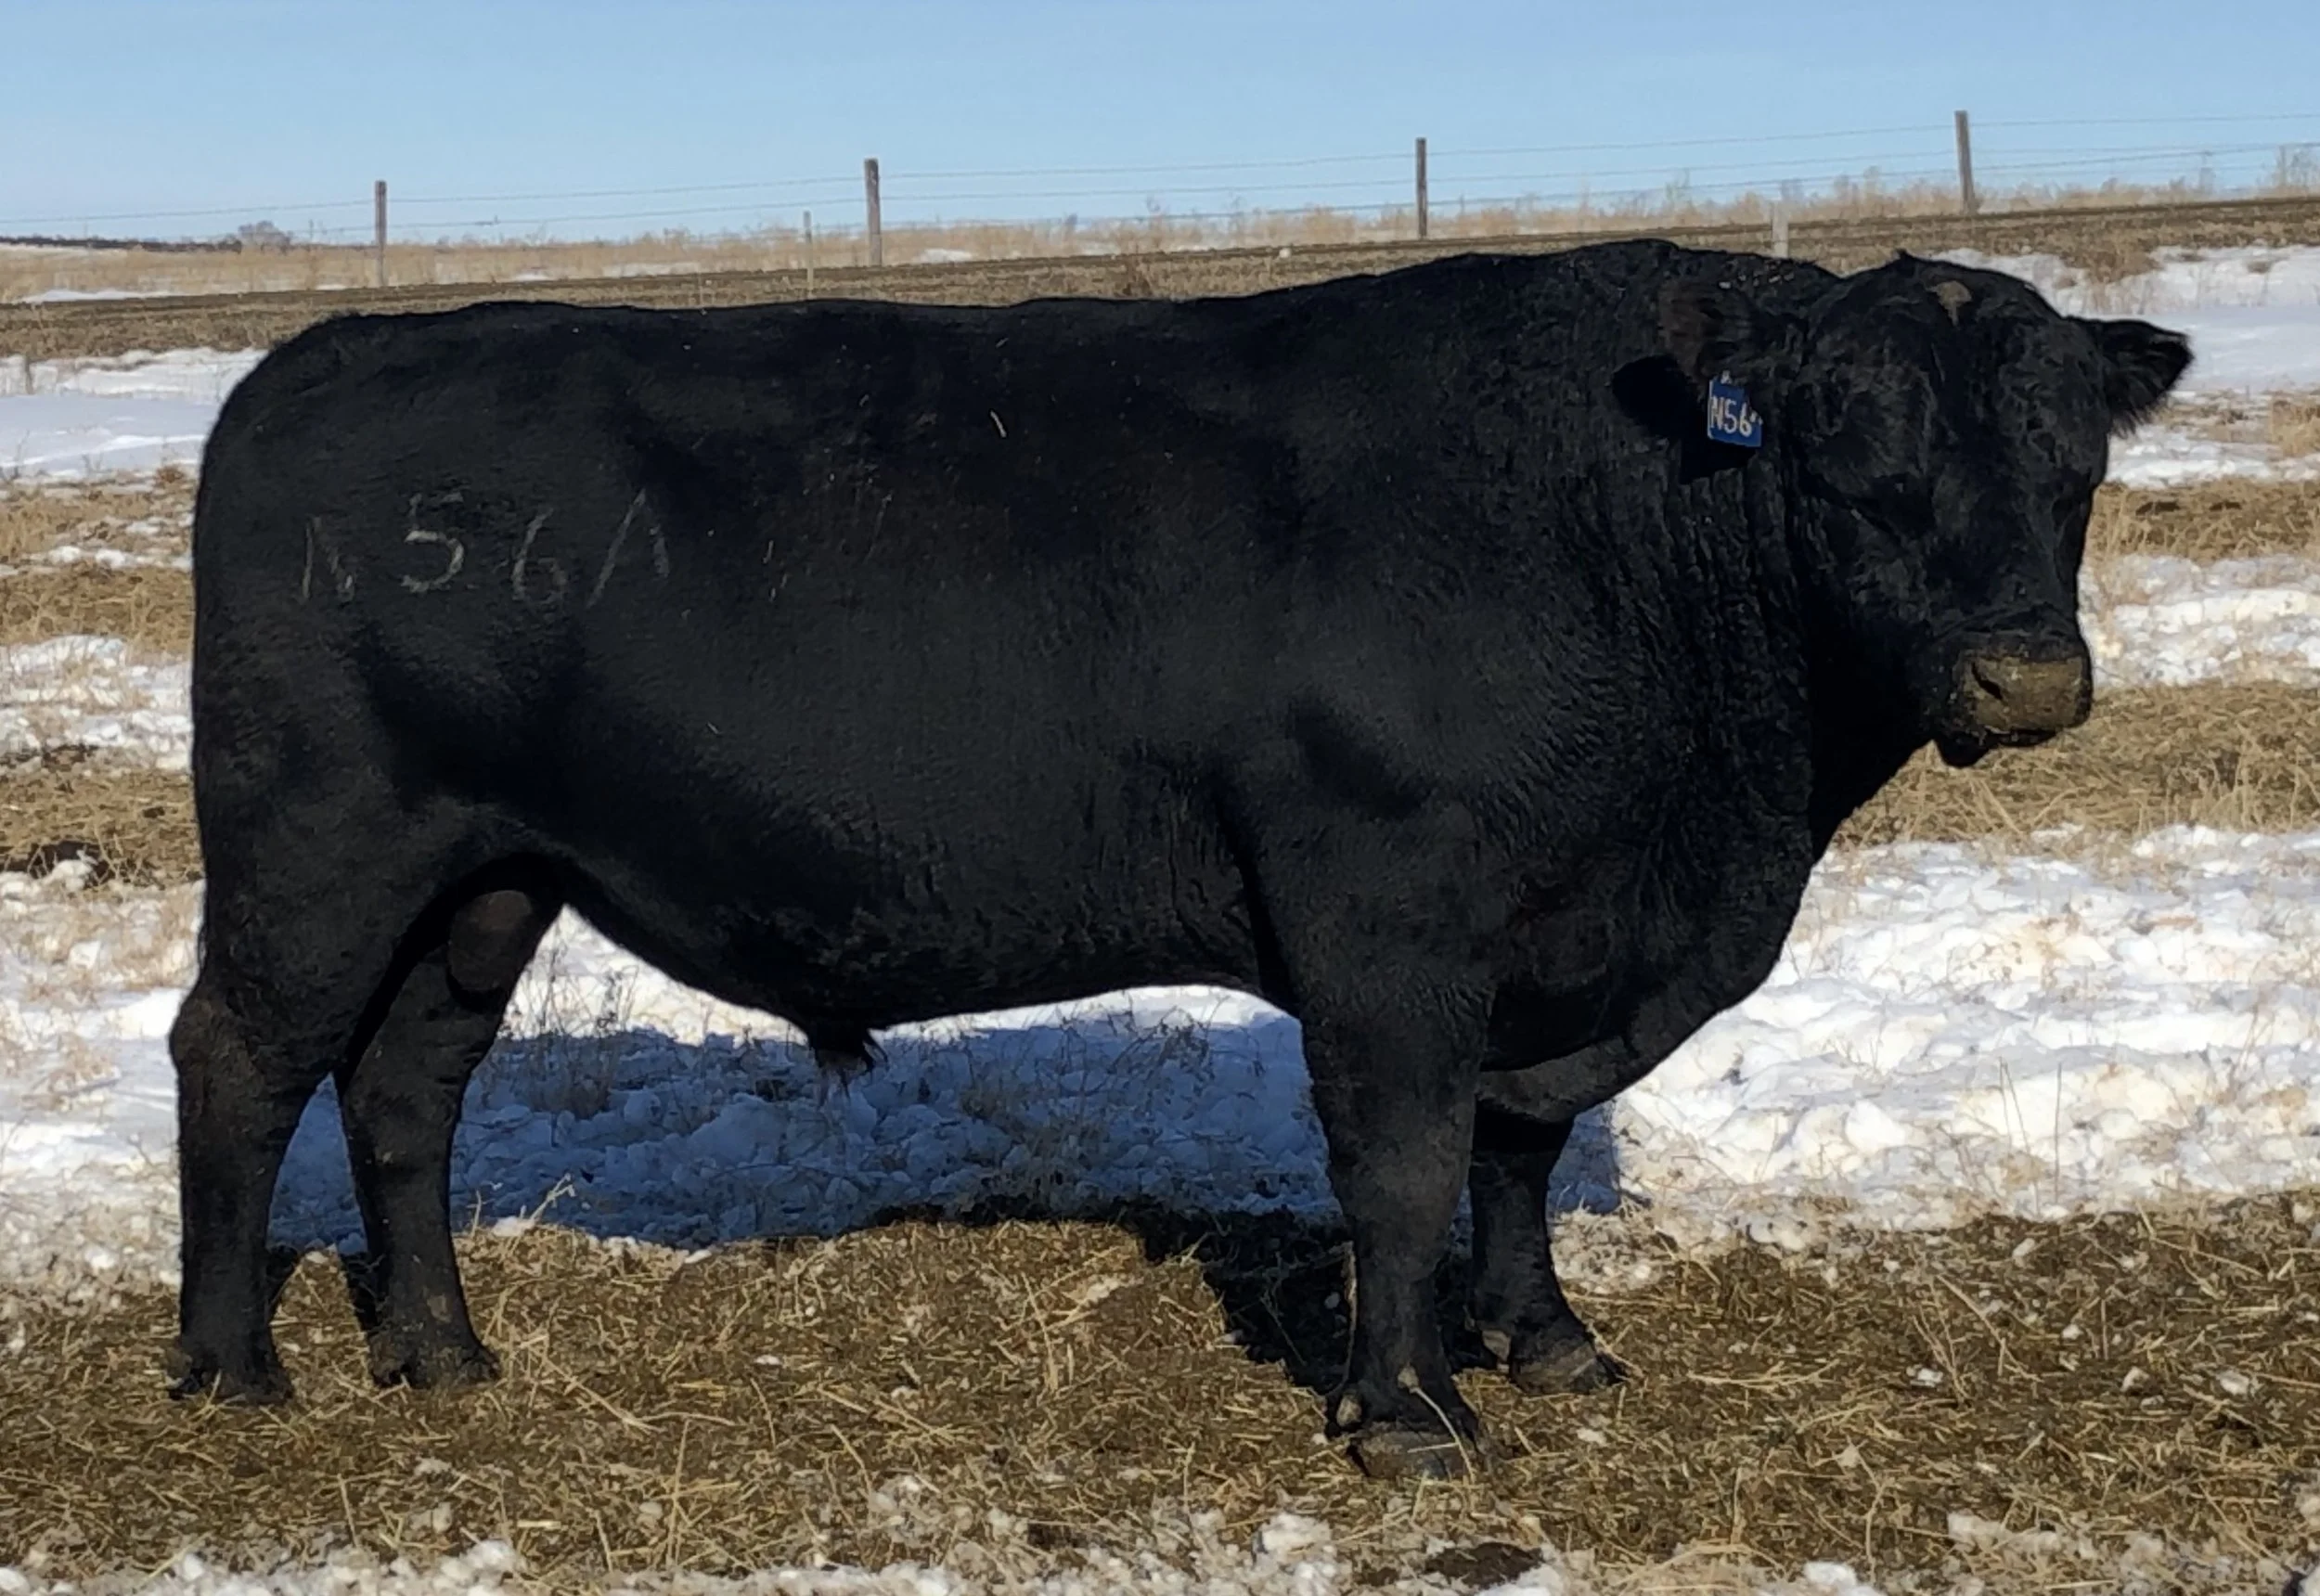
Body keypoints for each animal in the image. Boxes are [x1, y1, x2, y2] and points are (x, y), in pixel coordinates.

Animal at [167, 238, 2189, 1479]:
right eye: (1844, 452)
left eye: (2072, 460)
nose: (2028, 679)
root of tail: (315, 362)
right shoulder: (1388, 911)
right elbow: (1401, 1161)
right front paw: (1408, 1412)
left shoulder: (1557, 937)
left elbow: (1517, 1147)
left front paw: (1544, 1341)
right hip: (322, 840)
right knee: (241, 1062)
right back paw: (234, 1368)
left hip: (485, 872)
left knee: (405, 1086)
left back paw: (443, 1354)